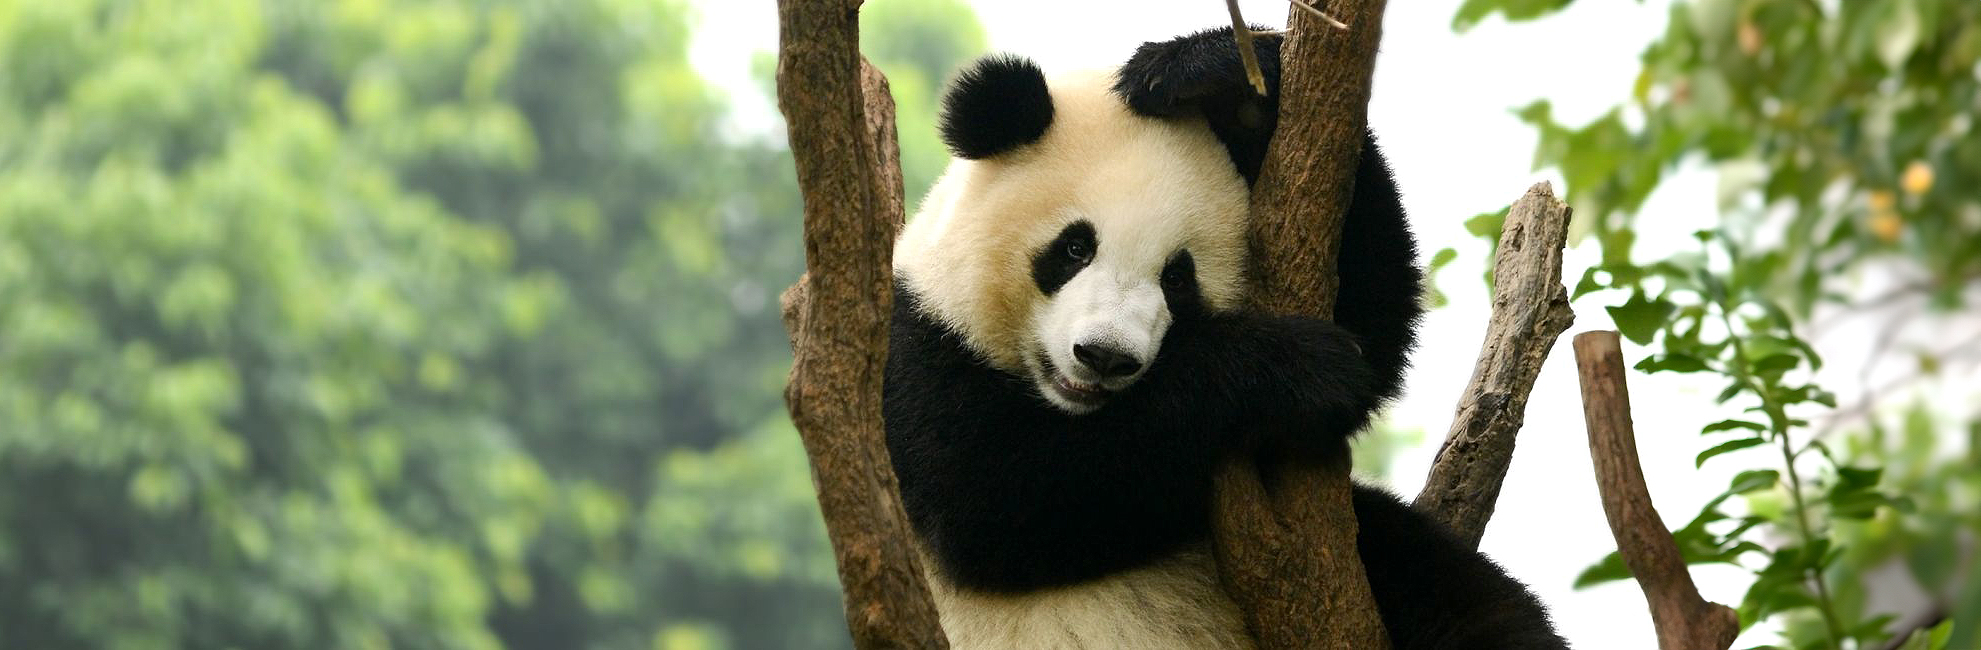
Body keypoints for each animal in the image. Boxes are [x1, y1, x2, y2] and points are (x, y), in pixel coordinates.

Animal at [882, 27, 1571, 649]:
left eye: (1178, 278)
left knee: (1458, 592)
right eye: (1074, 248)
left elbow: (1374, 317)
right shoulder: (911, 348)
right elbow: (998, 498)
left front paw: (1211, 72)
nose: (1105, 356)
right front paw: (1295, 368)